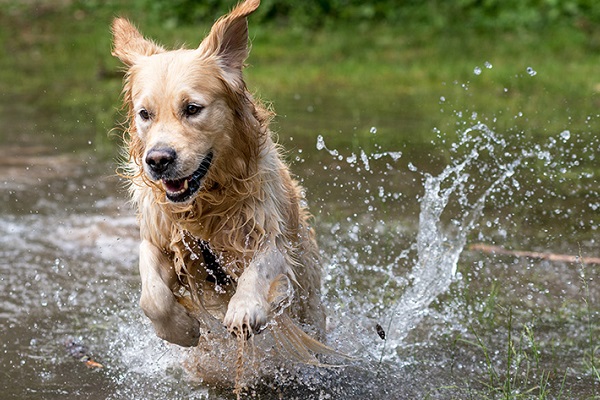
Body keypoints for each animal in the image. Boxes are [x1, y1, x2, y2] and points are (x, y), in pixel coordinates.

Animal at [112, 0, 328, 356]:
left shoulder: (271, 235)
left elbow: (260, 266)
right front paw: (183, 329)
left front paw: (244, 308)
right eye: (145, 114)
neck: (204, 206)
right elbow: (152, 296)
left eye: (192, 108)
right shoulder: (158, 236)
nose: (158, 160)